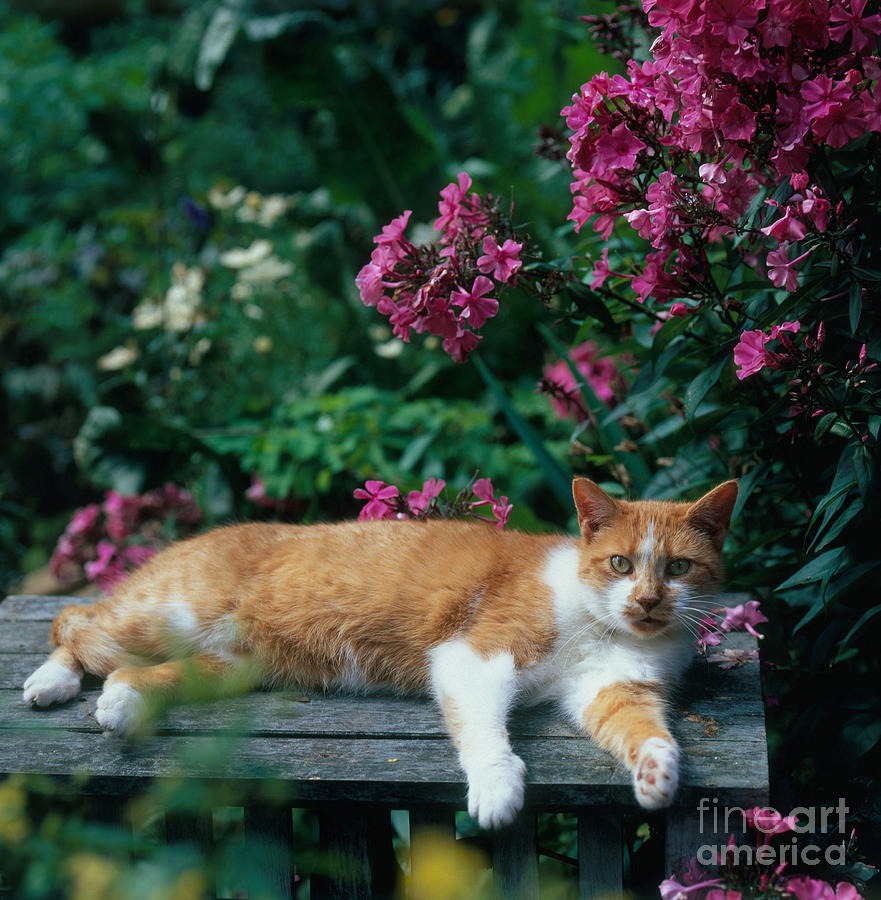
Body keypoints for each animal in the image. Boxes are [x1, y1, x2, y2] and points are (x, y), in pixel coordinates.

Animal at [22, 478, 736, 828]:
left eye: (677, 567)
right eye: (621, 564)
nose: (648, 600)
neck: (602, 623)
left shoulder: (611, 690)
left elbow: (642, 729)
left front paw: (658, 775)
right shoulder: (476, 656)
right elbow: (485, 733)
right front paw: (497, 788)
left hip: (229, 666)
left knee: (132, 671)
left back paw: (122, 704)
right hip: (166, 615)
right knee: (76, 622)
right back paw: (51, 682)